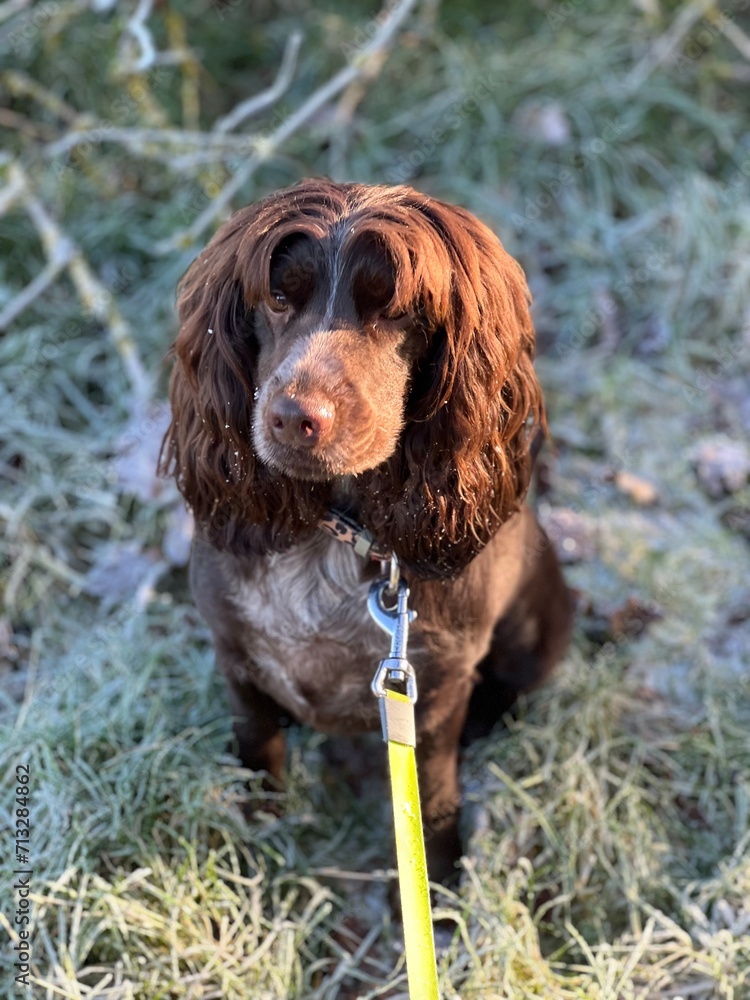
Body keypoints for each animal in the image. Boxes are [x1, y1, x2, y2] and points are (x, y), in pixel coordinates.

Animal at [162, 180, 576, 884]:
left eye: (398, 311)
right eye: (277, 298)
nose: (293, 418)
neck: (333, 532)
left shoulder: (434, 690)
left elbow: (430, 792)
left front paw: (435, 874)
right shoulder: (234, 653)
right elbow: (258, 740)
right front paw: (256, 827)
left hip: (533, 636)